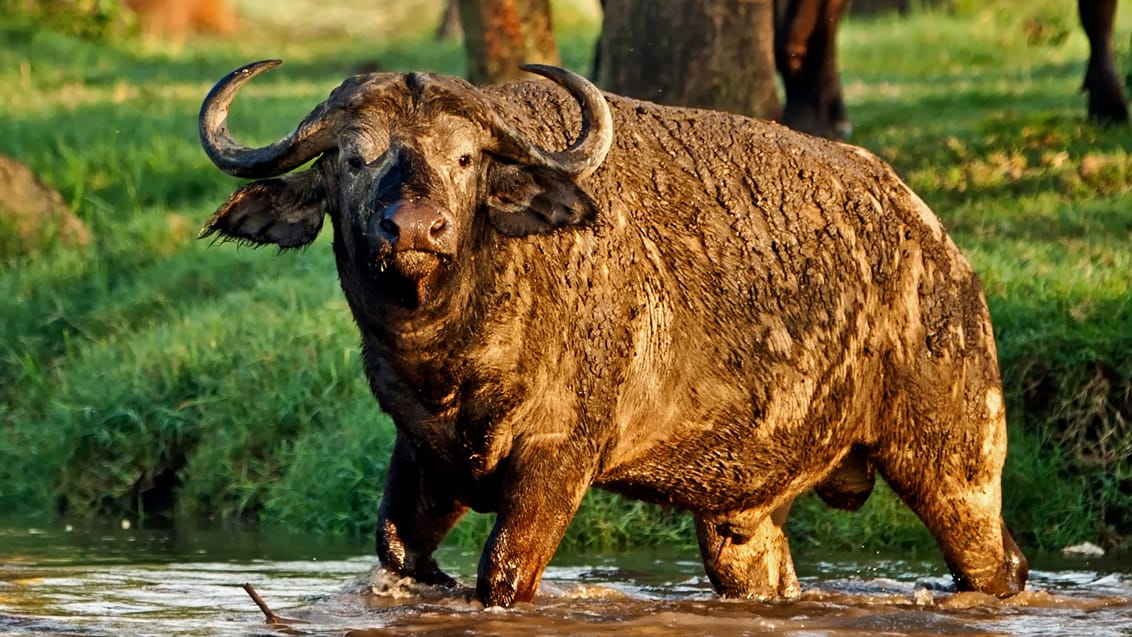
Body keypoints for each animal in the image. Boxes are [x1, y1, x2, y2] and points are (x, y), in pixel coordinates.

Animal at [199, 59, 1032, 606]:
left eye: (464, 156)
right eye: (351, 157)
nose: (415, 228)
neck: (455, 355)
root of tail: (938, 246)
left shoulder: (558, 458)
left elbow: (502, 576)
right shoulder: (424, 457)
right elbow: (398, 552)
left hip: (957, 464)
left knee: (1001, 564)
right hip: (742, 518)